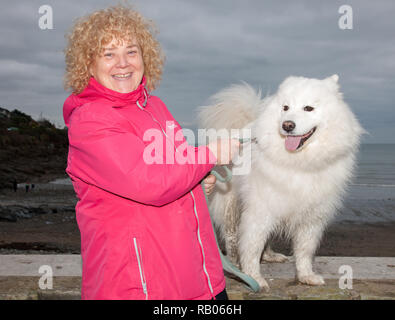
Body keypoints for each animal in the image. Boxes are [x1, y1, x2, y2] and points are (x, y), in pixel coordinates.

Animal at [200, 75, 364, 290]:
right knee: (231, 235)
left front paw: (306, 276)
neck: (300, 163)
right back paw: (234, 262)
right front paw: (254, 278)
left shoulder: (312, 215)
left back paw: (270, 256)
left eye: (308, 108)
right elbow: (252, 247)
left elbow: (304, 250)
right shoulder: (260, 210)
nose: (287, 125)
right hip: (232, 204)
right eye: (285, 107)